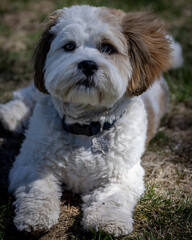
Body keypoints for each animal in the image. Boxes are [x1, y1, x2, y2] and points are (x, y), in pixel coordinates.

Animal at [0, 4, 183, 237]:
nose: (87, 64)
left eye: (107, 48)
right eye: (69, 46)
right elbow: (38, 188)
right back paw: (9, 115)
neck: (85, 127)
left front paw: (108, 222)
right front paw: (35, 216)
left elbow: (111, 199)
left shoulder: (123, 175)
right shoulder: (30, 163)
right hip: (34, 93)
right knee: (25, 96)